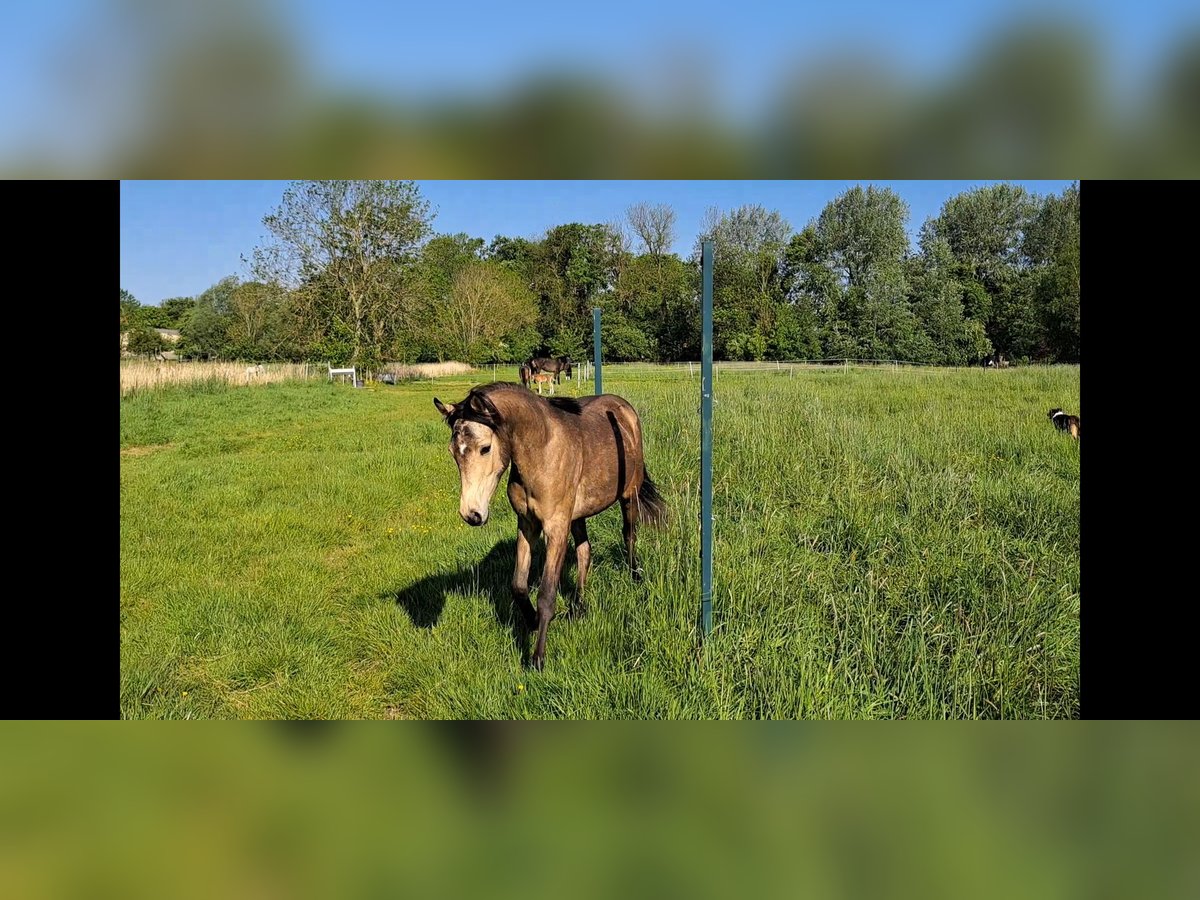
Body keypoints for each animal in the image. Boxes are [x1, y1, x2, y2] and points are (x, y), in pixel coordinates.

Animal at [436, 381, 672, 672]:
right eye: (453, 452)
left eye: (485, 448)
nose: (472, 515)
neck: (542, 451)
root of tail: (625, 410)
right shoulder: (527, 524)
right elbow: (518, 585)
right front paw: (532, 621)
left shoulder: (556, 528)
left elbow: (547, 594)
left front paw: (537, 658)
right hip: (577, 516)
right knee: (585, 552)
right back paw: (579, 606)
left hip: (630, 496)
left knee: (629, 536)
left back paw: (635, 576)